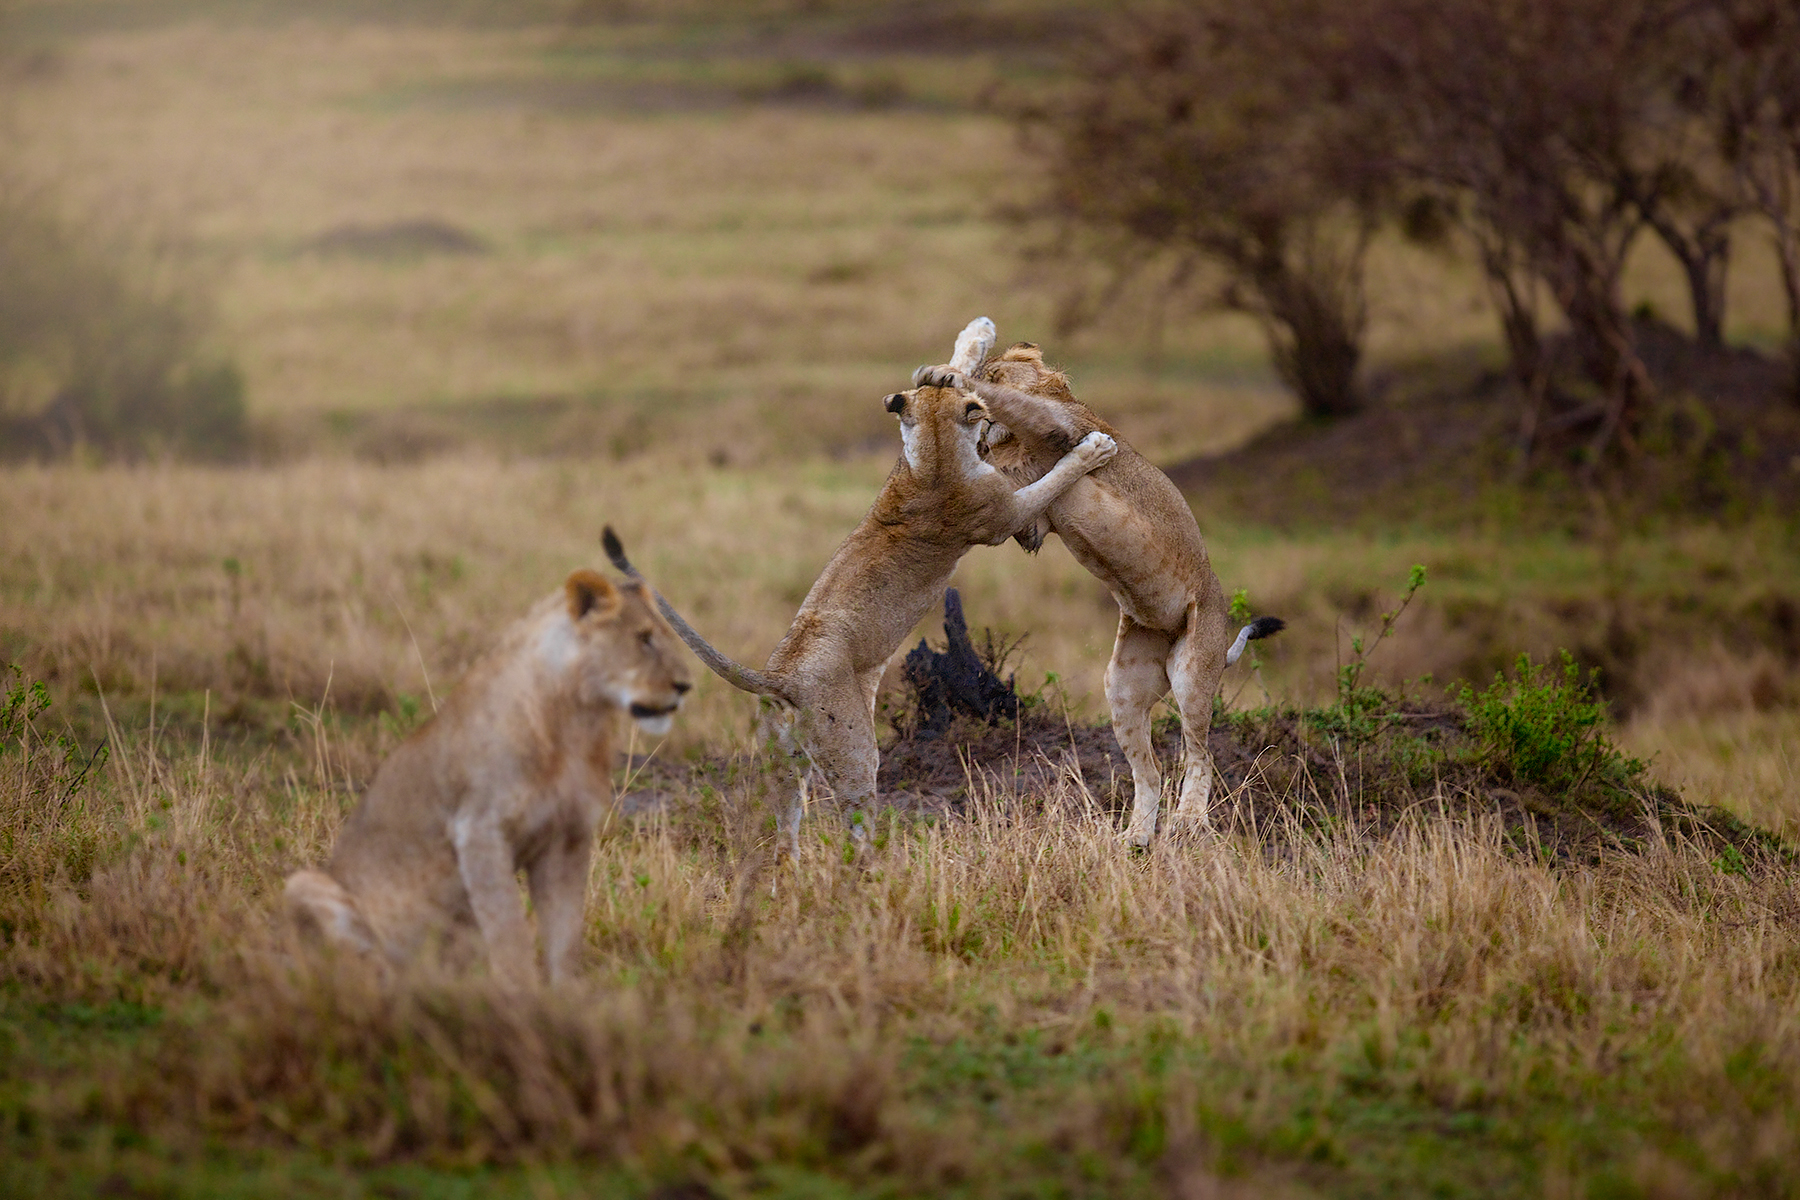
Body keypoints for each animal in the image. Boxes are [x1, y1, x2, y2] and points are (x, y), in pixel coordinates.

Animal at [283, 563, 692, 986]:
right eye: (643, 638)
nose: (685, 686)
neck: (576, 719)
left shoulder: (568, 837)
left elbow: (564, 937)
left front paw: (565, 997)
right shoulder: (478, 829)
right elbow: (509, 930)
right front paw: (523, 995)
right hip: (302, 885)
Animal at [605, 379, 1117, 860]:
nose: (990, 424)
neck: (933, 457)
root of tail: (780, 679)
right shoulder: (1001, 515)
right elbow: (1048, 483)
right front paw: (1093, 448)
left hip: (782, 764)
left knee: (783, 839)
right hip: (854, 752)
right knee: (855, 830)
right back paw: (875, 871)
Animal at [914, 318, 1283, 846]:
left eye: (996, 373)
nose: (974, 420)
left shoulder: (1057, 425)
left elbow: (1010, 403)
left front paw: (947, 374)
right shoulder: (1029, 522)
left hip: (1193, 667)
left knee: (1201, 754)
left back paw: (1187, 821)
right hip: (1122, 687)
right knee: (1150, 771)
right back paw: (1136, 838)